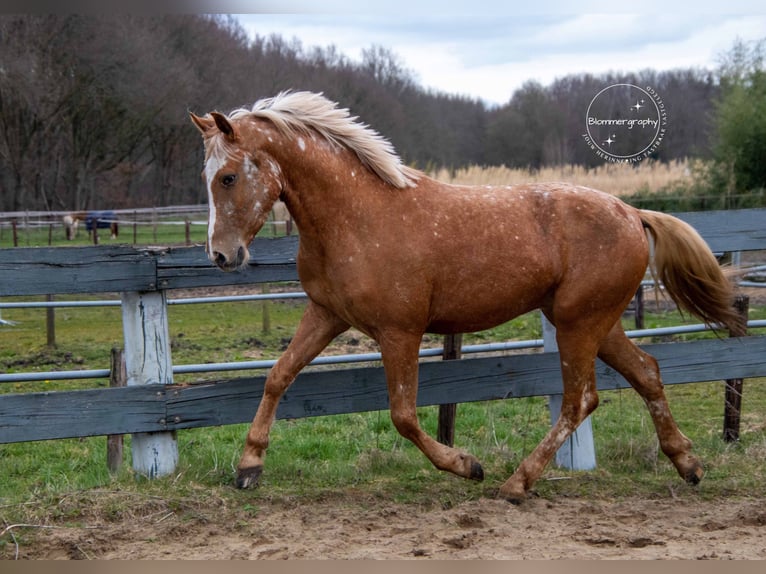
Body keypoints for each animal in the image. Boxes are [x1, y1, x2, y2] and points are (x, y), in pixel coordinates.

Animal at [190, 90, 744, 504]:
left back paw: (516, 483)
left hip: (578, 324)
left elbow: (404, 416)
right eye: (208, 177)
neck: (355, 217)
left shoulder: (400, 331)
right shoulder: (326, 314)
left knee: (580, 399)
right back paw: (688, 464)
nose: (221, 255)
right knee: (646, 373)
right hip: (596, 322)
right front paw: (248, 467)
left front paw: (467, 465)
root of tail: (633, 212)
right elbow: (278, 376)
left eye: (229, 176)